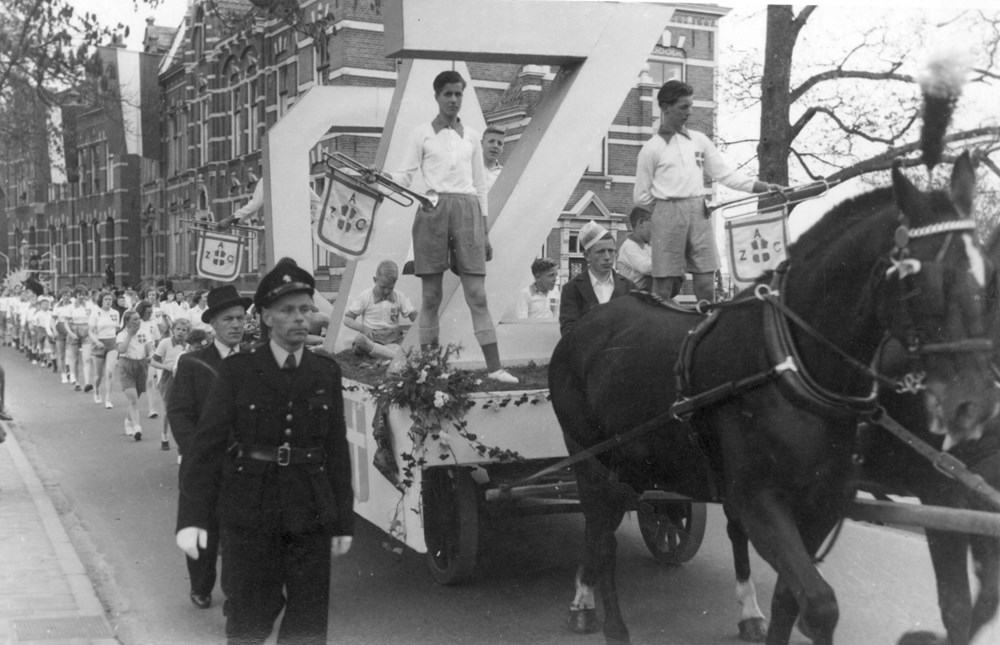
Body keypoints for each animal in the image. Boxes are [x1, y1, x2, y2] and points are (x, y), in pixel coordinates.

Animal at [552, 153, 996, 640]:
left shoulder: (824, 502)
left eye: (985, 275)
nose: (975, 405)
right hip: (593, 462)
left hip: (636, 461)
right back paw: (604, 619)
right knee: (601, 535)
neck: (793, 366)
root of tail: (584, 328)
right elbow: (820, 605)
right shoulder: (759, 500)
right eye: (919, 280)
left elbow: (790, 598)